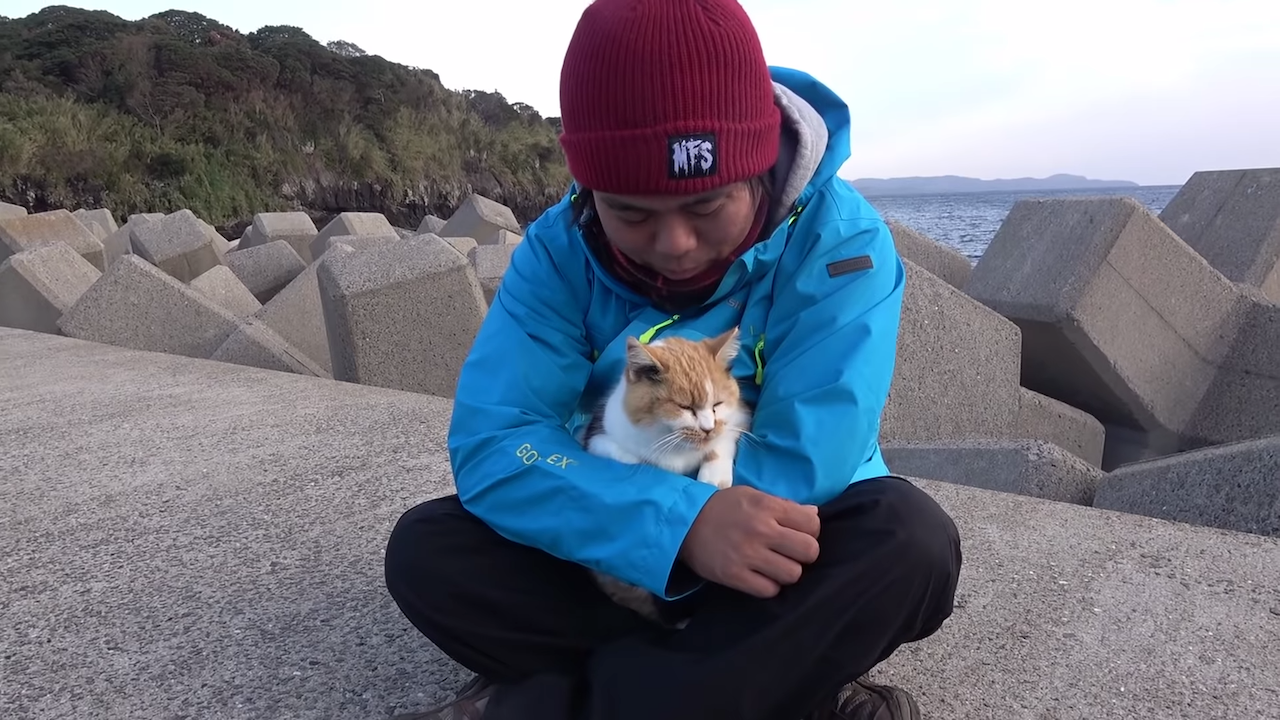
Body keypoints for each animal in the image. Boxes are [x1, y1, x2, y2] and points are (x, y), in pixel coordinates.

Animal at [581, 326, 747, 622]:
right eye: (685, 407)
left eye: (717, 404)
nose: (707, 428)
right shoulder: (599, 440)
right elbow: (633, 460)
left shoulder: (737, 417)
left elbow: (722, 439)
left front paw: (714, 477)